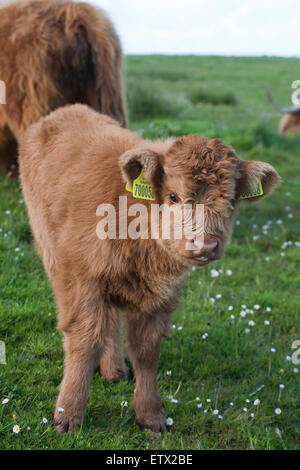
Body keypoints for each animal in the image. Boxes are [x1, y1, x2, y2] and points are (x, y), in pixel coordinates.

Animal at [19, 104, 280, 436]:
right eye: (173, 196)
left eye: (231, 201)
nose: (205, 244)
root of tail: (66, 111)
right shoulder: (81, 280)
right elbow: (83, 341)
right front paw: (68, 413)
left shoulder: (161, 299)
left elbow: (146, 350)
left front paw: (151, 415)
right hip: (50, 250)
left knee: (112, 320)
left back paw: (114, 368)